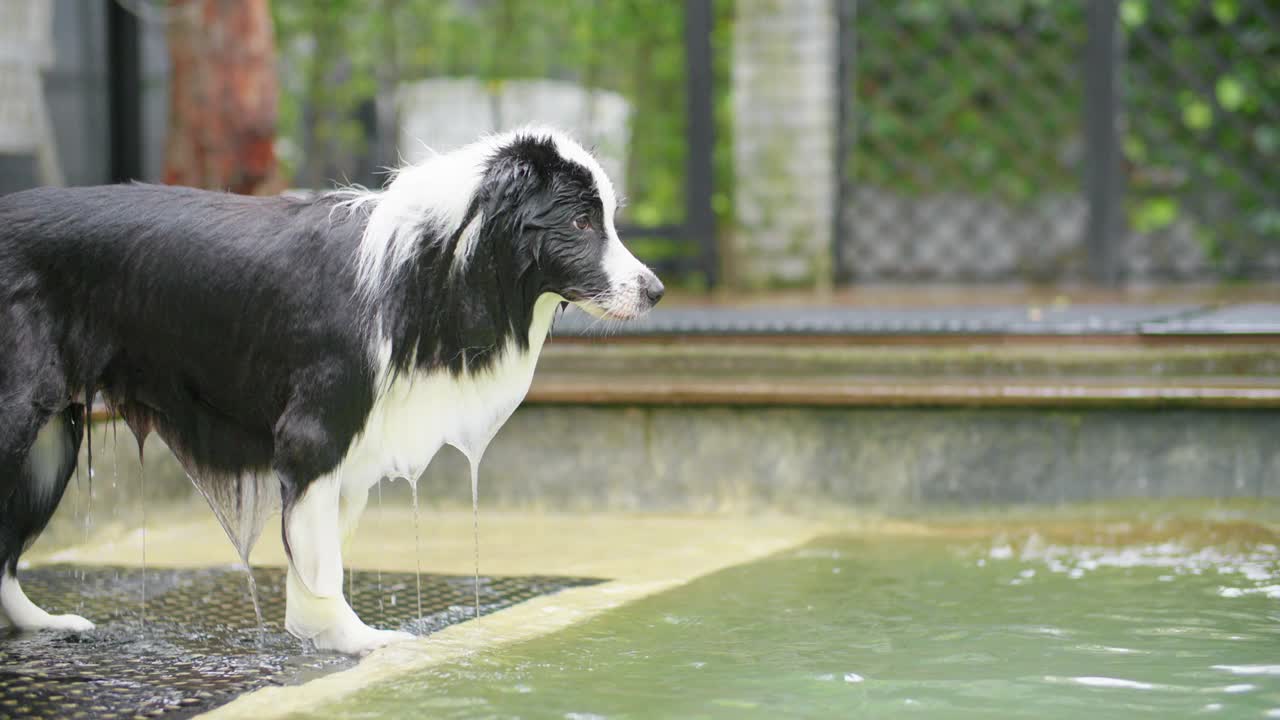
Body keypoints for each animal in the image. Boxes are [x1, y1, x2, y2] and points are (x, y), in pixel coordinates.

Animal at [0, 127, 660, 650]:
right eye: (580, 222)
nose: (655, 291)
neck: (429, 263)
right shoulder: (314, 430)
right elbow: (320, 557)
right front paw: (353, 639)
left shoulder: (350, 442)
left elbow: (321, 552)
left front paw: (320, 633)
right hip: (19, 413)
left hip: (51, 439)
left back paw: (42, 622)